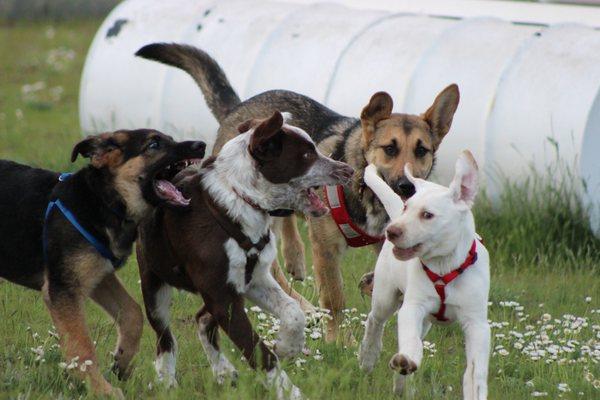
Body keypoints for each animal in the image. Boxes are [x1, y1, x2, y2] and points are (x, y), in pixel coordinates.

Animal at [0, 130, 206, 396]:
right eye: (153, 144)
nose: (201, 145)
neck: (103, 200)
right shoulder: (64, 290)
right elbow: (82, 346)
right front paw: (100, 389)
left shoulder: (100, 276)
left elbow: (132, 313)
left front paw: (122, 362)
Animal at [136, 111, 352, 398]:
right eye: (307, 155)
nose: (349, 171)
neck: (238, 199)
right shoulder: (222, 297)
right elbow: (260, 352)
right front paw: (288, 390)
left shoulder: (254, 279)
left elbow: (294, 311)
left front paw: (287, 347)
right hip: (154, 283)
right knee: (165, 337)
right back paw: (167, 380)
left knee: (202, 318)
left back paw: (223, 371)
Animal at [137, 44, 460, 344]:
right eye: (390, 149)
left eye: (421, 150)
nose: (408, 187)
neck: (368, 192)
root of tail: (237, 109)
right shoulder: (325, 247)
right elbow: (335, 297)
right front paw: (339, 340)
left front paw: (370, 285)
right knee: (274, 268)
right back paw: (305, 303)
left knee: (287, 223)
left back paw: (295, 258)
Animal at [358, 151, 490, 400]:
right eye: (406, 208)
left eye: (427, 215)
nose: (391, 232)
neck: (444, 266)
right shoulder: (413, 307)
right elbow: (410, 340)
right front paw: (407, 358)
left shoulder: (477, 323)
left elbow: (475, 369)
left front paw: (474, 388)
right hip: (385, 296)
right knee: (375, 320)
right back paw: (369, 357)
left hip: (427, 322)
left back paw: (401, 386)